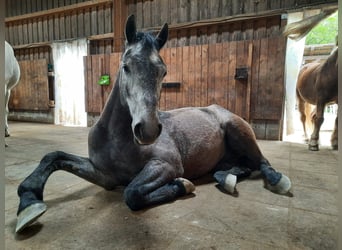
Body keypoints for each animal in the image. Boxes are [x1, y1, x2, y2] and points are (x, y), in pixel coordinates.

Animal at [14, 16, 290, 234]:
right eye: (126, 66)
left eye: (163, 71)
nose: (147, 130)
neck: (118, 139)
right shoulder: (104, 175)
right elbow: (53, 157)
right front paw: (29, 203)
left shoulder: (166, 165)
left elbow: (132, 194)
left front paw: (181, 184)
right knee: (240, 168)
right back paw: (227, 179)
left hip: (238, 131)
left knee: (262, 163)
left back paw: (277, 180)